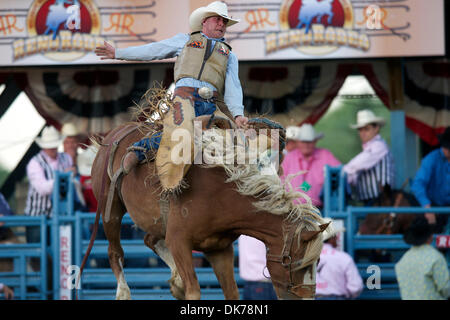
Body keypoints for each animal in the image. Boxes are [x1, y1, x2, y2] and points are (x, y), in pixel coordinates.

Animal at [86, 120, 328, 300]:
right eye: (297, 264)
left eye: (317, 264)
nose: (307, 298)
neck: (222, 194)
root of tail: (113, 134)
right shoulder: (179, 242)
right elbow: (194, 291)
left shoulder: (219, 249)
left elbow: (231, 293)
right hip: (110, 209)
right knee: (115, 252)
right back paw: (123, 292)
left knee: (149, 240)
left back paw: (176, 282)